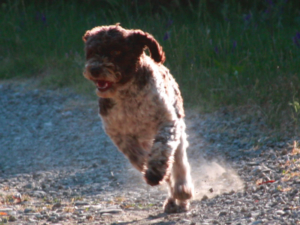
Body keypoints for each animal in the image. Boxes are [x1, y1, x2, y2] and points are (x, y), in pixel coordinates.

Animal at [82, 24, 195, 213]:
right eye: (90, 51)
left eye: (116, 51)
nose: (95, 69)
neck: (127, 95)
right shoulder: (119, 134)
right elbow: (137, 156)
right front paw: (150, 170)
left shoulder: (167, 122)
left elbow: (162, 149)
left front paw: (155, 172)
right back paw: (172, 199)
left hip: (178, 130)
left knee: (179, 164)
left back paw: (182, 192)